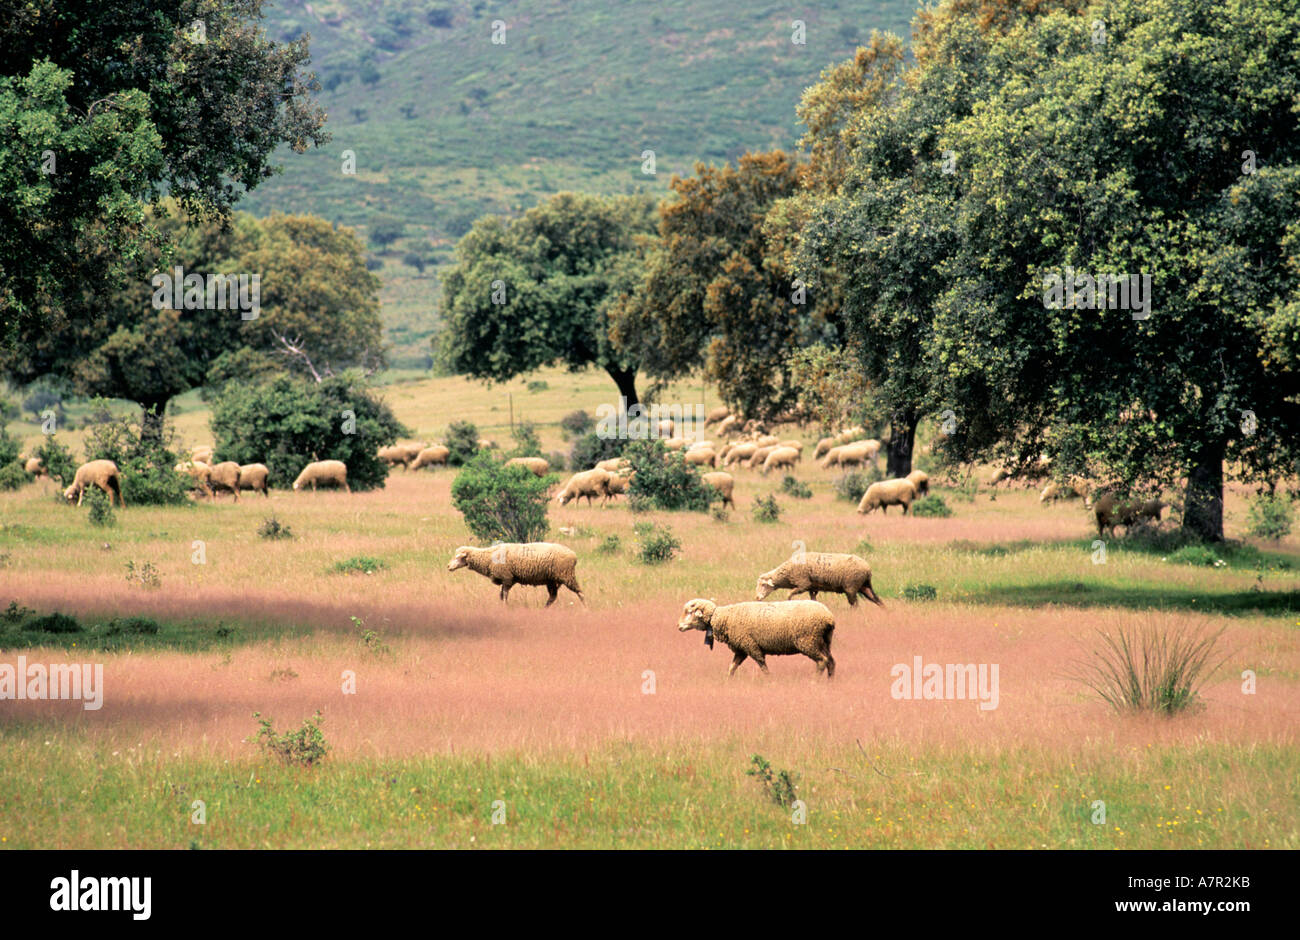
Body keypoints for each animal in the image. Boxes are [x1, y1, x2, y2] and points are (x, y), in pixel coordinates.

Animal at [447, 542, 585, 606]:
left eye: (458, 557)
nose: (448, 566)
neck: (488, 557)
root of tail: (574, 555)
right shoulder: (508, 580)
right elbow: (501, 595)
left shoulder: (507, 578)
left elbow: (504, 595)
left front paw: (505, 607)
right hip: (551, 579)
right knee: (553, 597)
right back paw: (544, 608)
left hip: (567, 575)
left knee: (580, 592)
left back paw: (585, 608)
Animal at [676, 598, 835, 678]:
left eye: (689, 612)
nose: (678, 626)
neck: (722, 618)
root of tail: (828, 617)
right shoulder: (741, 649)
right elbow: (732, 667)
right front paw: (727, 680)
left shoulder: (750, 645)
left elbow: (762, 665)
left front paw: (769, 680)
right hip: (823, 641)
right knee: (831, 661)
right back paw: (830, 680)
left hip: (808, 640)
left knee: (822, 660)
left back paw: (814, 681)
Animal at [755, 551, 884, 607]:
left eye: (763, 585)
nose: (756, 598)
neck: (787, 572)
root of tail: (868, 569)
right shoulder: (812, 589)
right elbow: (813, 600)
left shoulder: (803, 585)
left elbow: (789, 594)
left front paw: (789, 603)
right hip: (865, 586)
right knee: (877, 600)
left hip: (851, 587)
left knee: (855, 605)